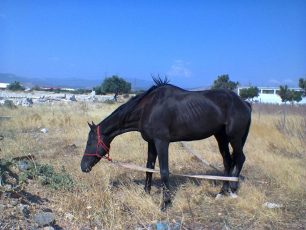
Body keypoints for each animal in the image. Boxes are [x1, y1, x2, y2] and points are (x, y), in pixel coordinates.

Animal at [80, 79, 251, 210]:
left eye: (90, 142)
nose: (83, 166)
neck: (148, 108)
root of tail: (244, 103)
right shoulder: (151, 142)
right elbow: (149, 167)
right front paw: (146, 192)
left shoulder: (161, 142)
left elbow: (163, 171)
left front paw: (165, 203)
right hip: (221, 136)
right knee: (227, 161)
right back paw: (222, 191)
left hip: (234, 138)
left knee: (240, 158)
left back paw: (233, 189)